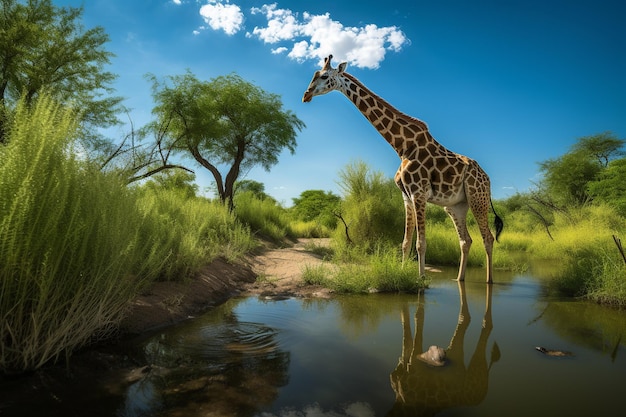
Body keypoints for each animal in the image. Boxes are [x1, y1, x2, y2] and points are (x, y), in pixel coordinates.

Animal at [302, 55, 502, 282]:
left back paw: (489, 281)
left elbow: (420, 243)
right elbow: (406, 242)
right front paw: (402, 272)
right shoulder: (406, 195)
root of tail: (487, 178)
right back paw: (459, 279)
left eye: (324, 76)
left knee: (488, 238)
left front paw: (421, 279)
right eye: (315, 75)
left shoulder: (419, 193)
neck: (402, 146)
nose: (306, 95)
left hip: (478, 198)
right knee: (466, 240)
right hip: (456, 206)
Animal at [388, 282, 500, 414]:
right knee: (467, 320)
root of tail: (483, 393)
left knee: (483, 324)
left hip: (475, 376)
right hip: (460, 359)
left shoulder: (414, 369)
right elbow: (406, 334)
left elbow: (417, 316)